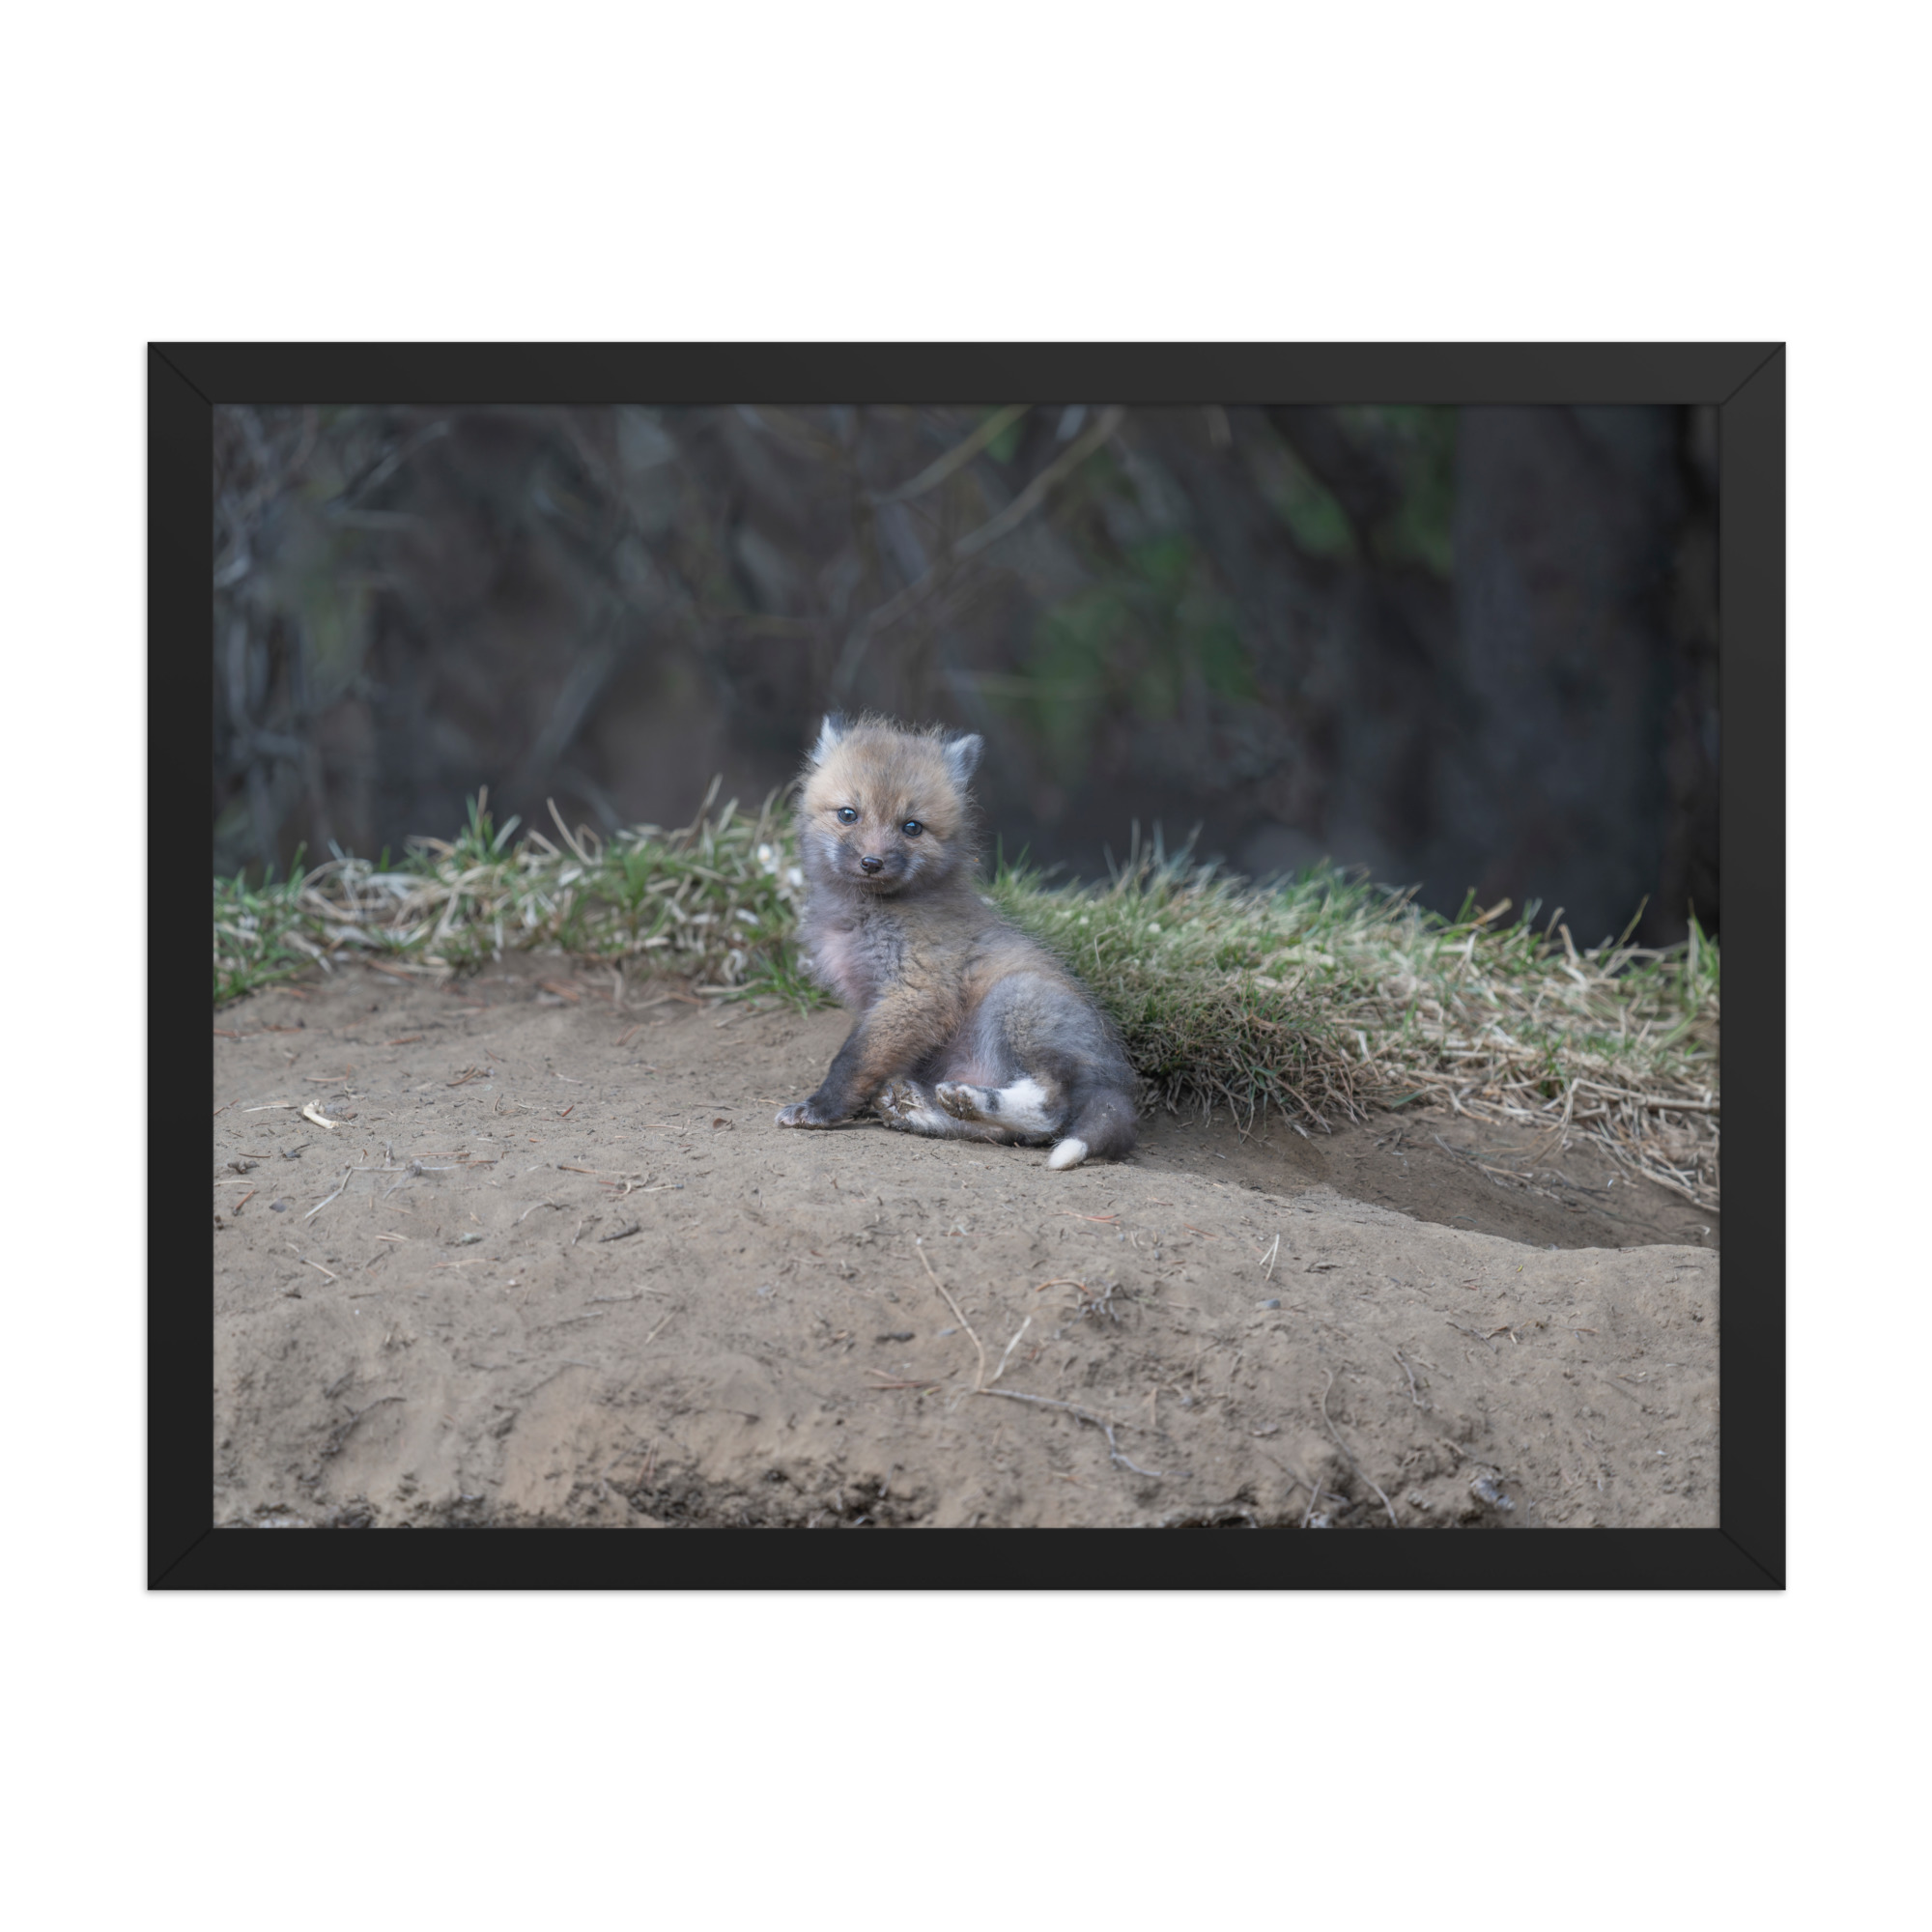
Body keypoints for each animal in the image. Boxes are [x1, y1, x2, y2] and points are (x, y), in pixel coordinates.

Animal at [774, 714, 1139, 1170]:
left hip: (1016, 1001)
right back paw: (922, 1108)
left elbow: (852, 1060)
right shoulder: (877, 1002)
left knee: (1049, 1110)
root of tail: (1118, 1080)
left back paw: (969, 1100)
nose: (872, 863)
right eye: (848, 814)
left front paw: (821, 1109)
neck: (866, 914)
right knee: (1007, 1134)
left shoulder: (916, 992)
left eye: (912, 827)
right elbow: (869, 1060)